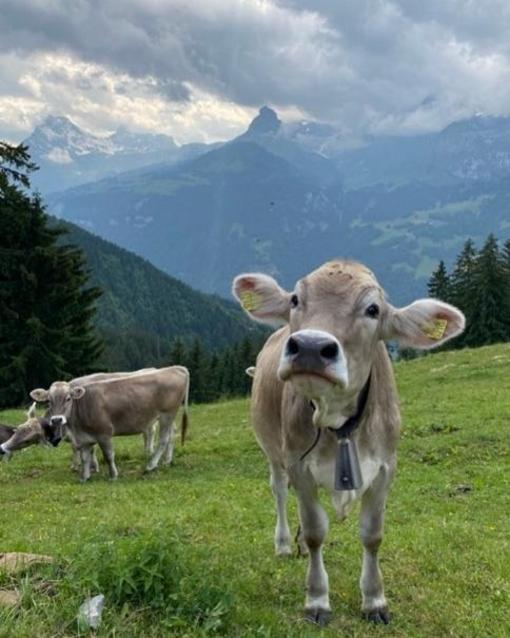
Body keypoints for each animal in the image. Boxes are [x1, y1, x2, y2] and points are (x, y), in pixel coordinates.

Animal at [29, 366, 190, 482]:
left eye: (69, 398)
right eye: (49, 401)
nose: (57, 419)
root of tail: (174, 368)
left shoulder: (104, 433)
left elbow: (108, 455)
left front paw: (112, 475)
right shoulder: (84, 437)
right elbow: (85, 456)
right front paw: (84, 476)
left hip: (167, 415)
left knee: (163, 439)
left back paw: (150, 465)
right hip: (167, 417)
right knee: (171, 436)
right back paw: (166, 461)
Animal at [232, 260, 465, 626]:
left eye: (373, 310)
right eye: (295, 299)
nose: (310, 347)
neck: (338, 422)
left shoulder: (385, 468)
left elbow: (372, 534)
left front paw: (374, 600)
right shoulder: (299, 465)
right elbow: (315, 530)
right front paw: (316, 599)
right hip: (272, 450)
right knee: (280, 491)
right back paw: (284, 543)